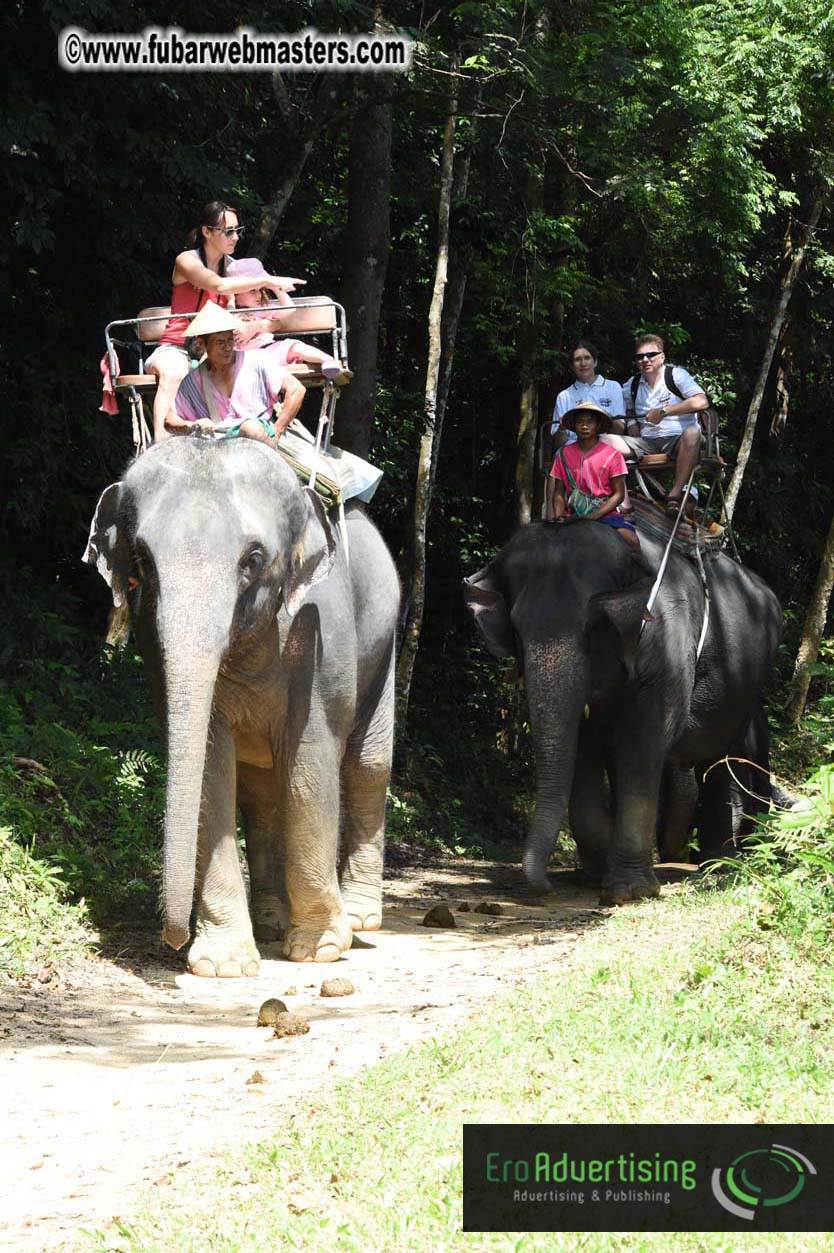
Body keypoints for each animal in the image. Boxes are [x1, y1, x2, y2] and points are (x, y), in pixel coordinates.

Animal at [84, 436, 399, 971]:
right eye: (142, 561)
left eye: (252, 560)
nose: (171, 939)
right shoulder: (154, 643)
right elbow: (213, 772)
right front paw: (223, 964)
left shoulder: (320, 634)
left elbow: (309, 766)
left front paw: (319, 950)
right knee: (261, 794)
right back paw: (271, 922)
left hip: (387, 639)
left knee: (367, 765)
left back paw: (359, 920)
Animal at [463, 517, 782, 904]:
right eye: (518, 630)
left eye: (592, 627)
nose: (546, 889)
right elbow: (583, 749)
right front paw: (595, 874)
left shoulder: (666, 641)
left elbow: (642, 743)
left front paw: (628, 892)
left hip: (744, 690)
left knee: (720, 757)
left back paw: (718, 866)